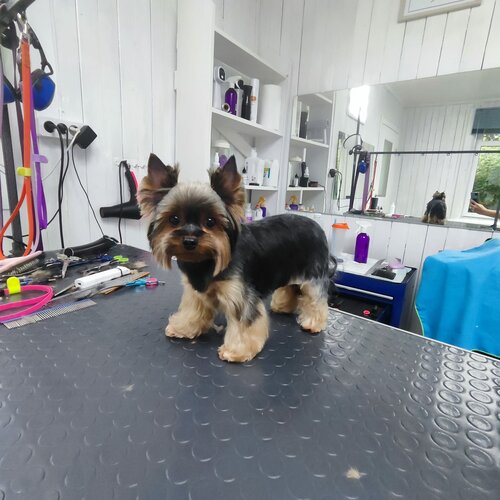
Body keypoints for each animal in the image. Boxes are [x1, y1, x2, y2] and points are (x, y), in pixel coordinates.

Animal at [138, 153, 333, 362]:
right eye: (174, 219)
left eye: (210, 221)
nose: (189, 241)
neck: (206, 261)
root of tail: (318, 227)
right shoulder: (196, 292)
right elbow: (192, 311)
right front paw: (183, 327)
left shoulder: (239, 294)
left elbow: (243, 323)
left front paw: (236, 350)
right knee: (291, 288)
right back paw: (282, 306)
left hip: (313, 276)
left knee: (316, 299)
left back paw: (313, 323)